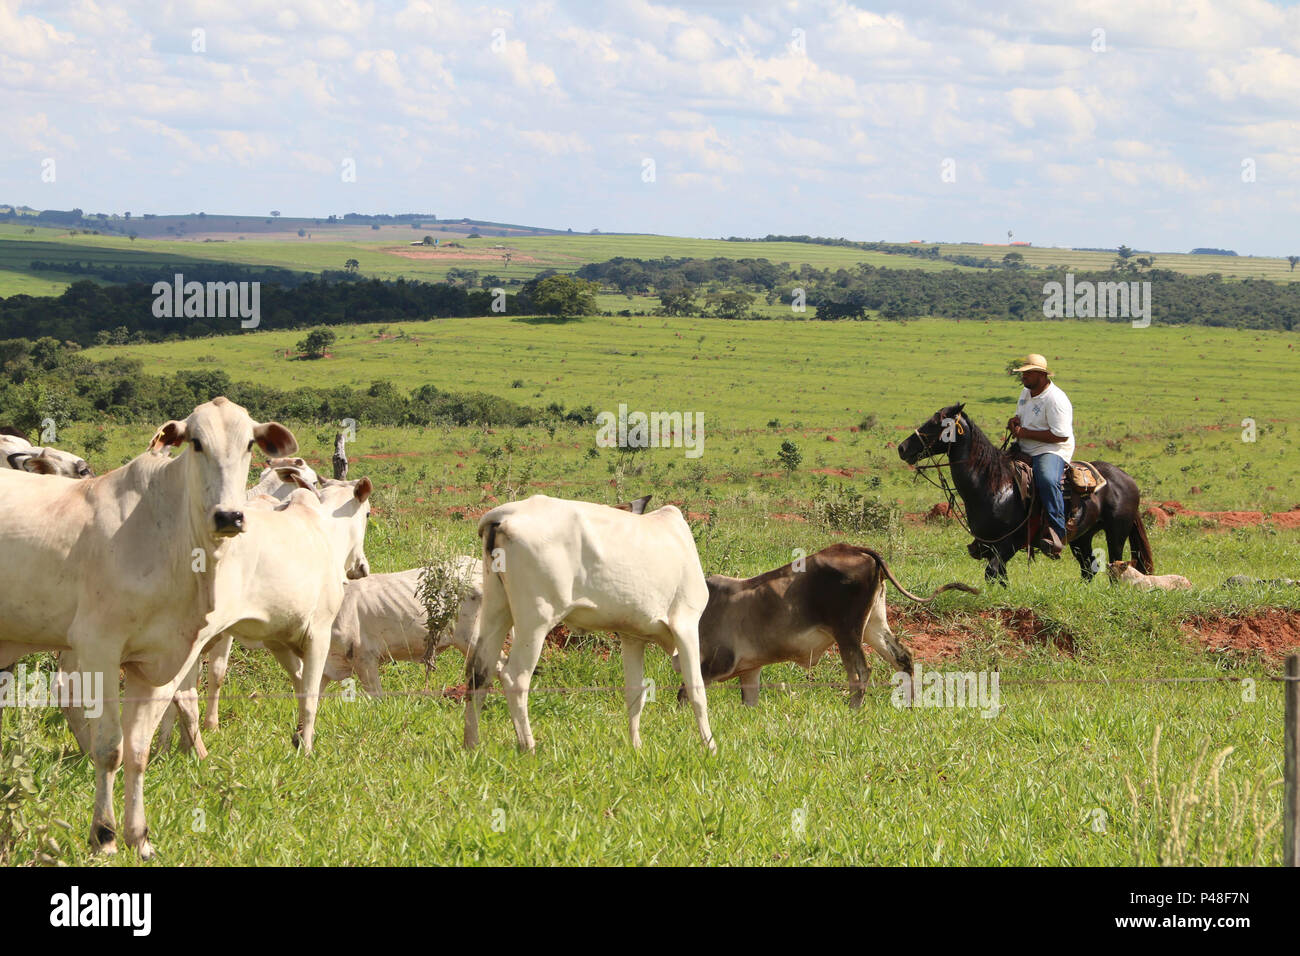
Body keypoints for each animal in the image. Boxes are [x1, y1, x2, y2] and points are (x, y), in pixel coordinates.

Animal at [0, 398, 296, 858]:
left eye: (250, 444)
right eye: (196, 442)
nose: (229, 516)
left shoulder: (160, 663)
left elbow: (138, 749)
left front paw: (139, 837)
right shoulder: (98, 649)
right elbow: (110, 748)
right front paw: (103, 836)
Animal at [465, 494, 717, 754]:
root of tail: (504, 515)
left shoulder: (633, 638)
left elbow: (635, 694)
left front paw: (636, 746)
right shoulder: (686, 625)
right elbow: (697, 691)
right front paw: (710, 746)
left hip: (496, 607)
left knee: (479, 672)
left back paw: (471, 745)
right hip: (535, 618)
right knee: (514, 676)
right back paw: (528, 746)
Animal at [681, 541, 977, 707]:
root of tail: (853, 549)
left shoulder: (715, 664)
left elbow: (687, 693)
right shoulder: (749, 670)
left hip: (847, 631)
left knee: (860, 672)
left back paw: (853, 710)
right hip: (873, 625)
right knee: (903, 658)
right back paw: (911, 706)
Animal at [899, 403, 1154, 582]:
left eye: (938, 423)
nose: (902, 448)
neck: (993, 485)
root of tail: (1127, 480)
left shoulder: (1009, 543)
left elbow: (992, 574)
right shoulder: (992, 546)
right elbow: (999, 577)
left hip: (1116, 533)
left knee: (1115, 569)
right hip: (1082, 537)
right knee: (1088, 569)